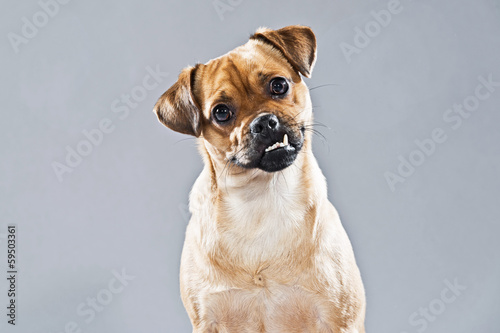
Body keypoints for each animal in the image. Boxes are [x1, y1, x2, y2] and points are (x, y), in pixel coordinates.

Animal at [154, 24, 366, 330]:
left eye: (279, 85)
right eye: (221, 112)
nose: (263, 122)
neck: (260, 198)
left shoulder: (340, 320)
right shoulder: (206, 321)